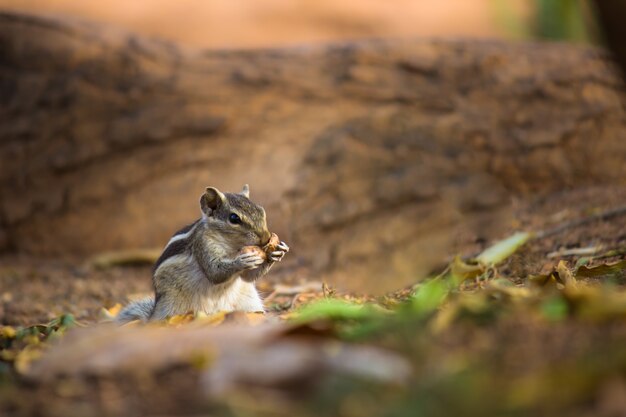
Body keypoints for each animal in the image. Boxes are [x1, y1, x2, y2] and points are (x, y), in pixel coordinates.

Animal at [116, 184, 288, 324]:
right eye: (234, 218)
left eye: (261, 210)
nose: (266, 238)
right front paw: (243, 261)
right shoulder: (203, 245)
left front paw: (277, 252)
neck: (232, 247)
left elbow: (248, 277)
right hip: (173, 307)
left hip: (249, 302)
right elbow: (214, 273)